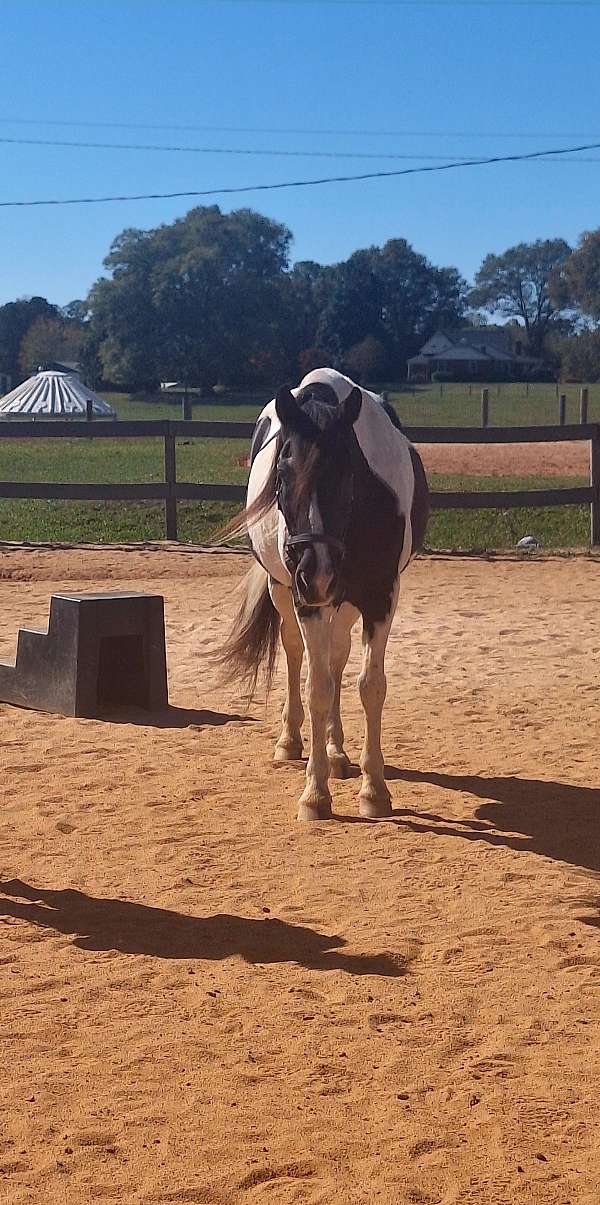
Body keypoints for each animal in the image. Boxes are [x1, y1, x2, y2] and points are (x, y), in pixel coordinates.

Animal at [217, 368, 429, 821]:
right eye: (281, 477)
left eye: (349, 475)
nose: (317, 572)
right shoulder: (306, 601)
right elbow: (316, 687)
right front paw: (315, 794)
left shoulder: (381, 597)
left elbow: (369, 686)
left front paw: (374, 789)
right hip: (286, 592)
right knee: (297, 653)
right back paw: (291, 742)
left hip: (341, 603)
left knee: (336, 657)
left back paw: (335, 751)